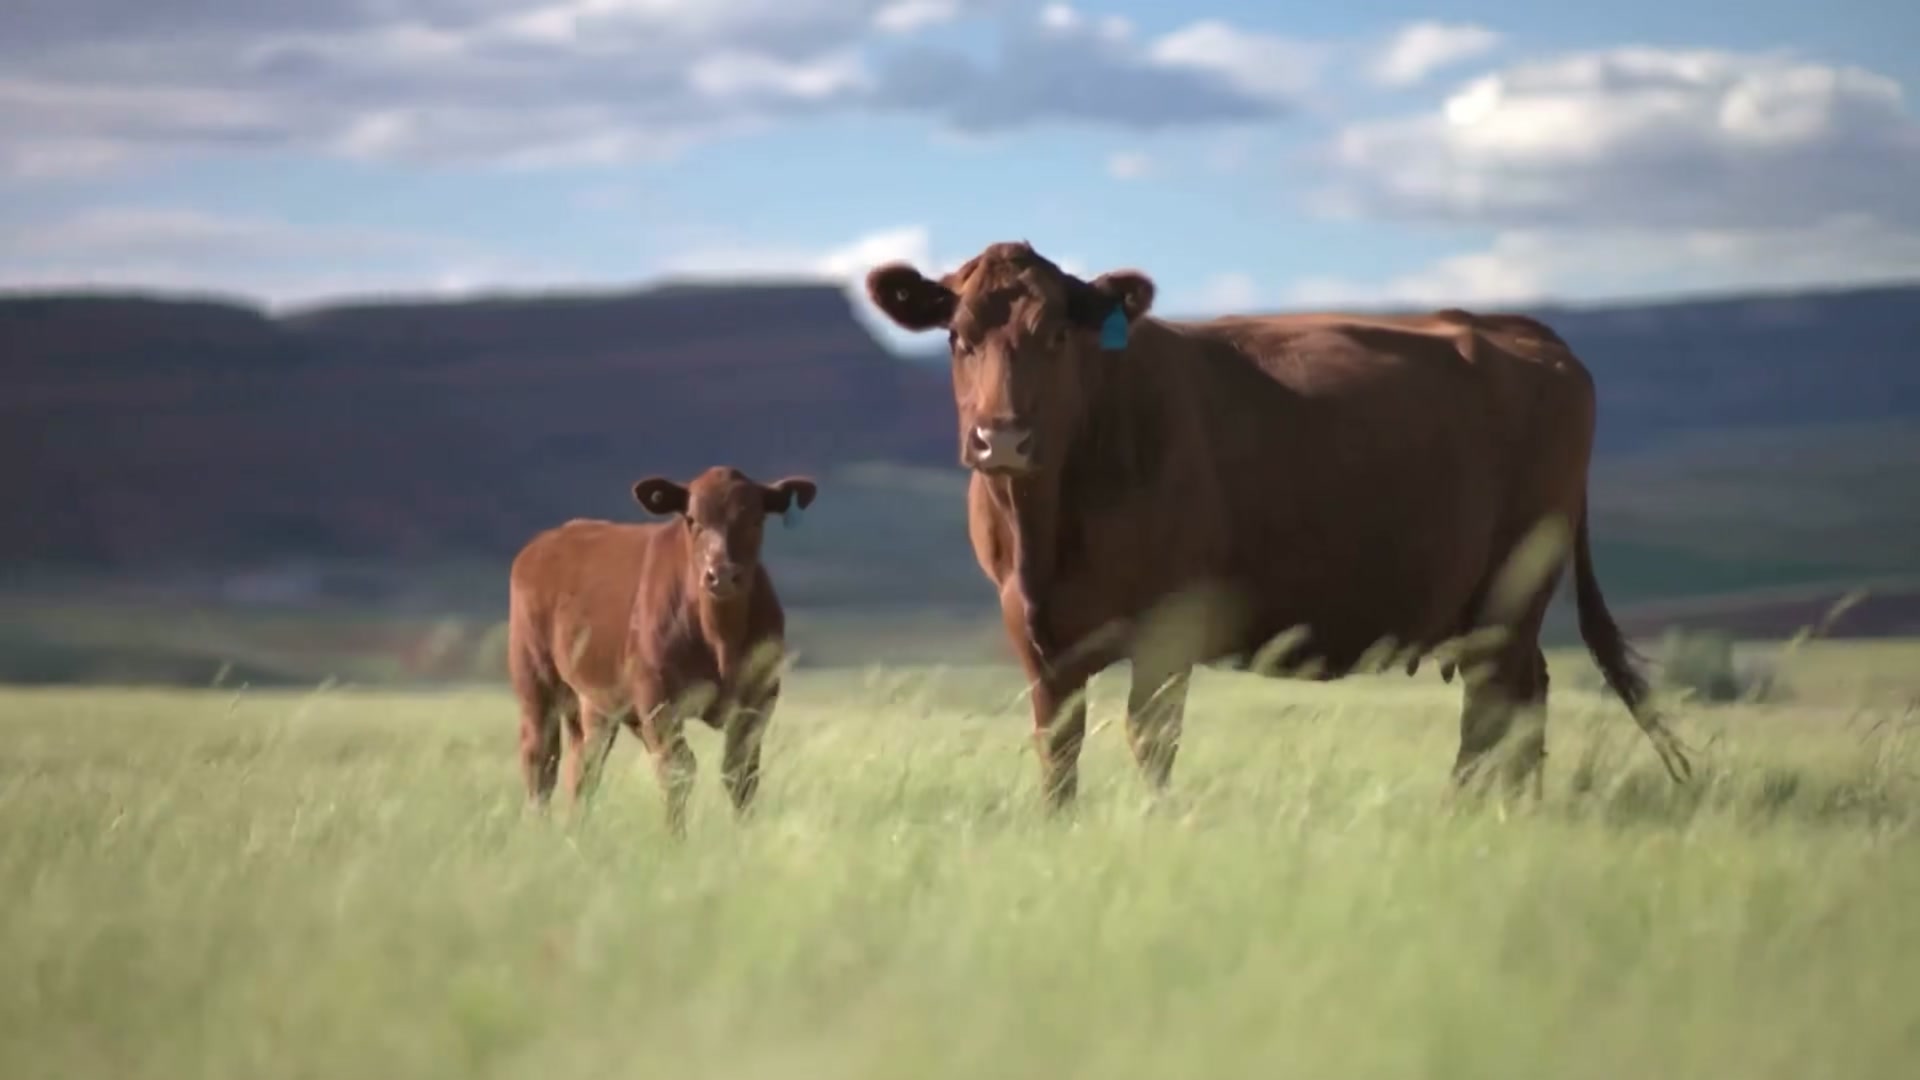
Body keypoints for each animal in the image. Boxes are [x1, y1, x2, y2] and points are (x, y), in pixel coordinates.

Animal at [506, 466, 818, 834]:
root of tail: (543, 544)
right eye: (692, 519)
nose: (722, 575)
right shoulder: (658, 700)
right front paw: (675, 839)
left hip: (594, 705)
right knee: (541, 765)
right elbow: (677, 772)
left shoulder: (759, 698)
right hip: (536, 687)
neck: (721, 639)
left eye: (756, 519)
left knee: (583, 769)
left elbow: (740, 774)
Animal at [863, 240, 1692, 809]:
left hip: (1513, 596)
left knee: (1504, 708)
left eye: (1057, 336)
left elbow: (1151, 738)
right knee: (1513, 705)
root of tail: (1522, 331)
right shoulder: (1036, 636)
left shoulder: (1171, 627)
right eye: (957, 337)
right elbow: (1058, 750)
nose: (1000, 439)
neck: (1047, 530)